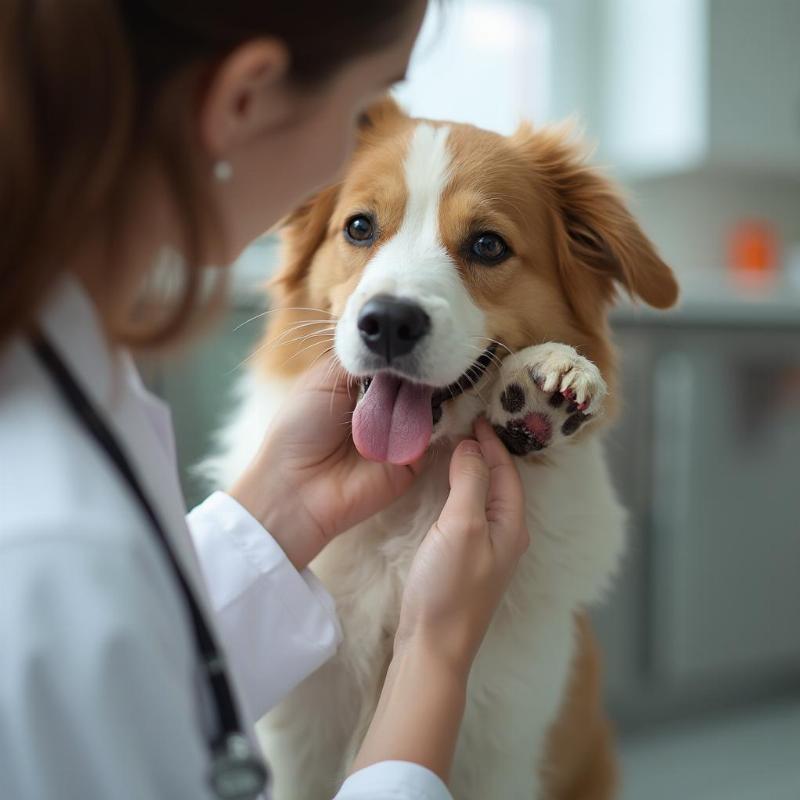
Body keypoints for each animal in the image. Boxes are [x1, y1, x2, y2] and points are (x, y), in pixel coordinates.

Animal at [203, 98, 680, 800]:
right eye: (359, 227)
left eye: (487, 244)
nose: (387, 322)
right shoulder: (297, 745)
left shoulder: (500, 742)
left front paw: (545, 380)